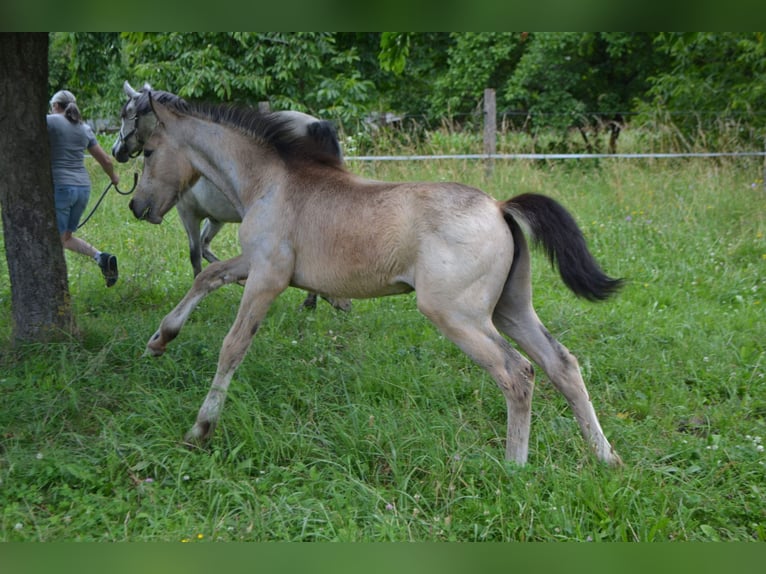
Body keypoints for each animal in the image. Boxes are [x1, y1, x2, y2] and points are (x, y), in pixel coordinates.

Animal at [112, 81, 352, 310]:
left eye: (125, 114)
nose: (116, 151)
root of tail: (315, 124)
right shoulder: (215, 219)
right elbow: (205, 248)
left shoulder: (188, 213)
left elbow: (195, 254)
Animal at [129, 97, 628, 468]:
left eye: (148, 151)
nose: (136, 206)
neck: (269, 182)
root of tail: (500, 207)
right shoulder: (254, 263)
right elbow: (207, 276)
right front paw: (159, 340)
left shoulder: (268, 276)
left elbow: (233, 346)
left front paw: (200, 429)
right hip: (511, 309)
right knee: (561, 364)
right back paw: (606, 457)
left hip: (457, 315)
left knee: (518, 373)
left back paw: (514, 467)